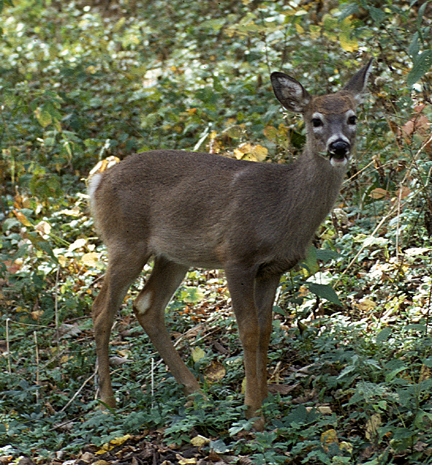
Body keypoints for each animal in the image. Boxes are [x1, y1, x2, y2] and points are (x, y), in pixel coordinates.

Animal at [87, 59, 372, 428]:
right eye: (316, 120)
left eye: (353, 117)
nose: (339, 147)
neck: (281, 205)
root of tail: (98, 181)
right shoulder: (237, 256)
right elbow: (247, 331)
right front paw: (254, 413)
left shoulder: (273, 269)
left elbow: (265, 331)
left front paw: (264, 402)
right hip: (125, 242)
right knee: (101, 311)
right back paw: (107, 402)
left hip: (173, 256)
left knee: (146, 305)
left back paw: (197, 394)